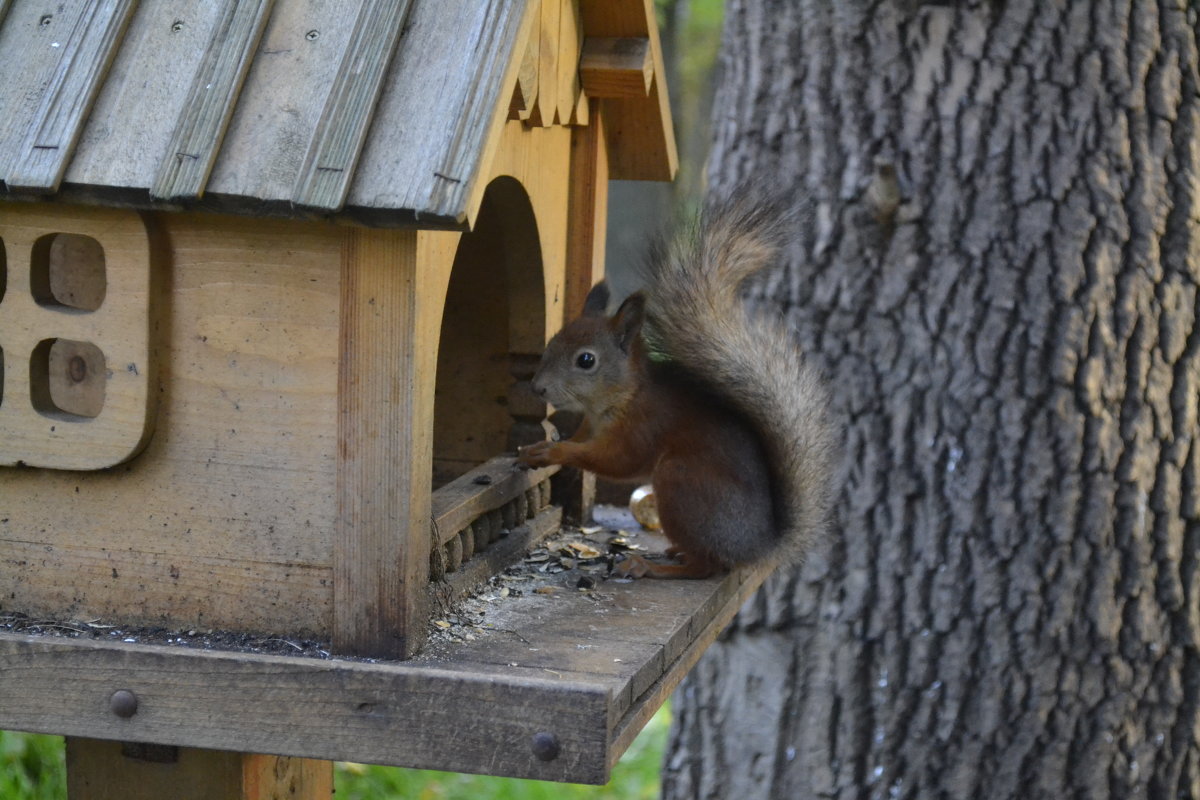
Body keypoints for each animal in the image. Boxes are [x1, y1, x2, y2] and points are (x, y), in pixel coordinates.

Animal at [516, 196, 835, 578]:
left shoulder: (644, 425)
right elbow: (582, 440)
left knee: (706, 567)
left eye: (586, 360)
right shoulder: (592, 424)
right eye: (551, 342)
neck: (616, 398)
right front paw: (538, 447)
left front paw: (555, 453)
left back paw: (652, 566)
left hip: (679, 484)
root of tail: (757, 549)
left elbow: (615, 460)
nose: (538, 389)